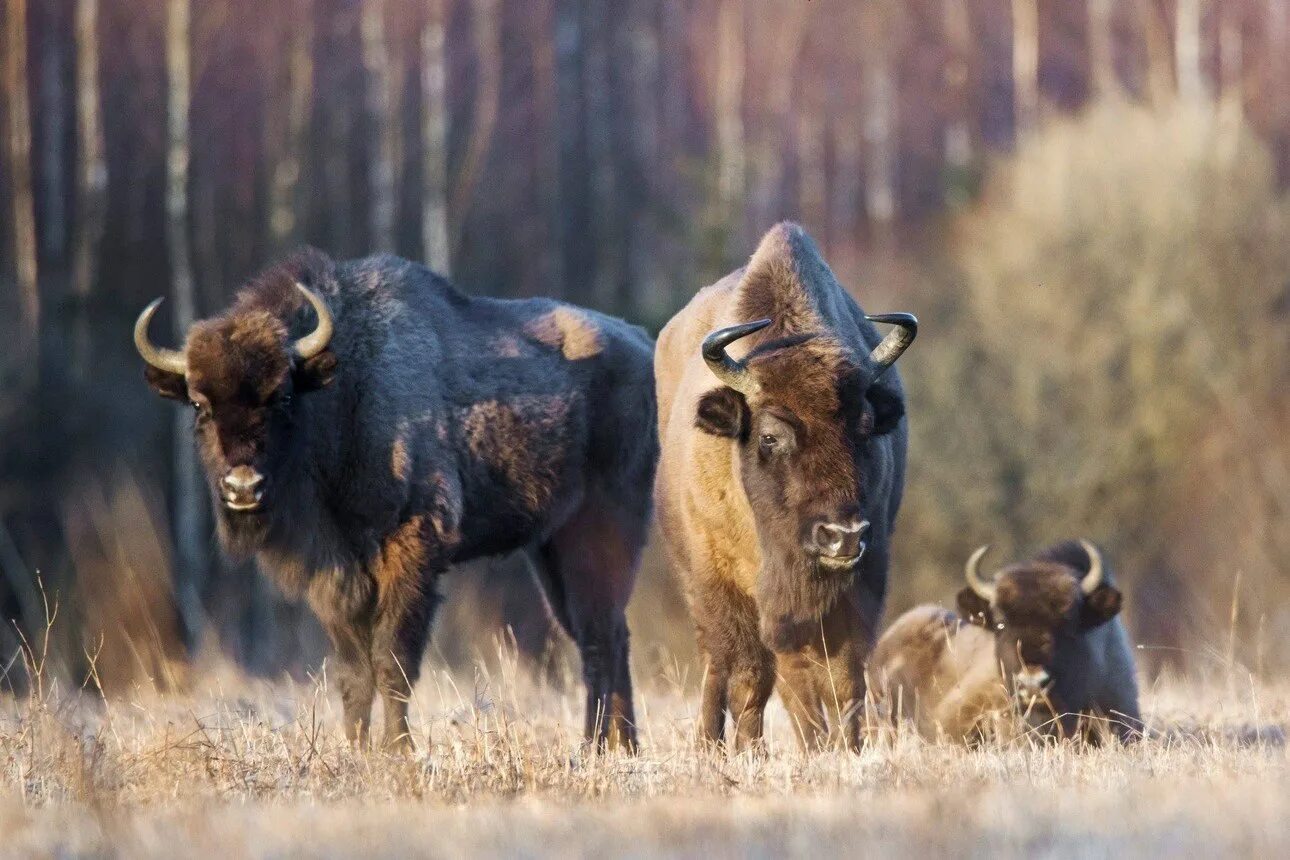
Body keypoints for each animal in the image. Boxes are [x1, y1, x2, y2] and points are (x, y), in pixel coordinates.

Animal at [136, 248, 655, 752]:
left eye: (281, 396)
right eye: (199, 405)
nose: (243, 487)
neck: (343, 394)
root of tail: (643, 346)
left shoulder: (411, 552)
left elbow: (392, 661)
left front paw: (399, 752)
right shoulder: (333, 575)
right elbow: (353, 672)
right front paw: (356, 751)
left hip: (600, 534)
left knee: (601, 637)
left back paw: (597, 747)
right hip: (549, 550)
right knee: (601, 635)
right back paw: (616, 746)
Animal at [655, 224, 918, 752]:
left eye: (866, 427)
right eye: (770, 436)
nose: (842, 536)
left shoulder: (862, 581)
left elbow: (840, 676)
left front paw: (844, 748)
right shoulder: (730, 584)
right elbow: (759, 675)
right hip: (696, 582)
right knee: (722, 665)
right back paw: (716, 744)